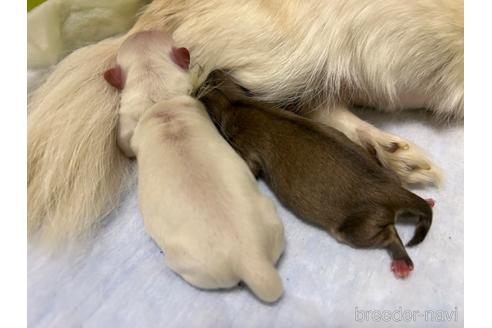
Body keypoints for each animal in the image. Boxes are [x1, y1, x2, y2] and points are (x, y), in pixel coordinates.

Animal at [103, 30, 284, 302]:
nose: (141, 31)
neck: (158, 97)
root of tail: (252, 261)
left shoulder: (126, 124)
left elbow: (124, 145)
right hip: (271, 218)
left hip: (190, 264)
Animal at [199, 70, 434, 278]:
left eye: (203, 88)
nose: (206, 72)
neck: (236, 101)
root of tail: (392, 190)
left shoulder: (246, 144)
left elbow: (250, 166)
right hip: (388, 178)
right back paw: (428, 202)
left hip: (358, 226)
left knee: (388, 235)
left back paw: (402, 262)